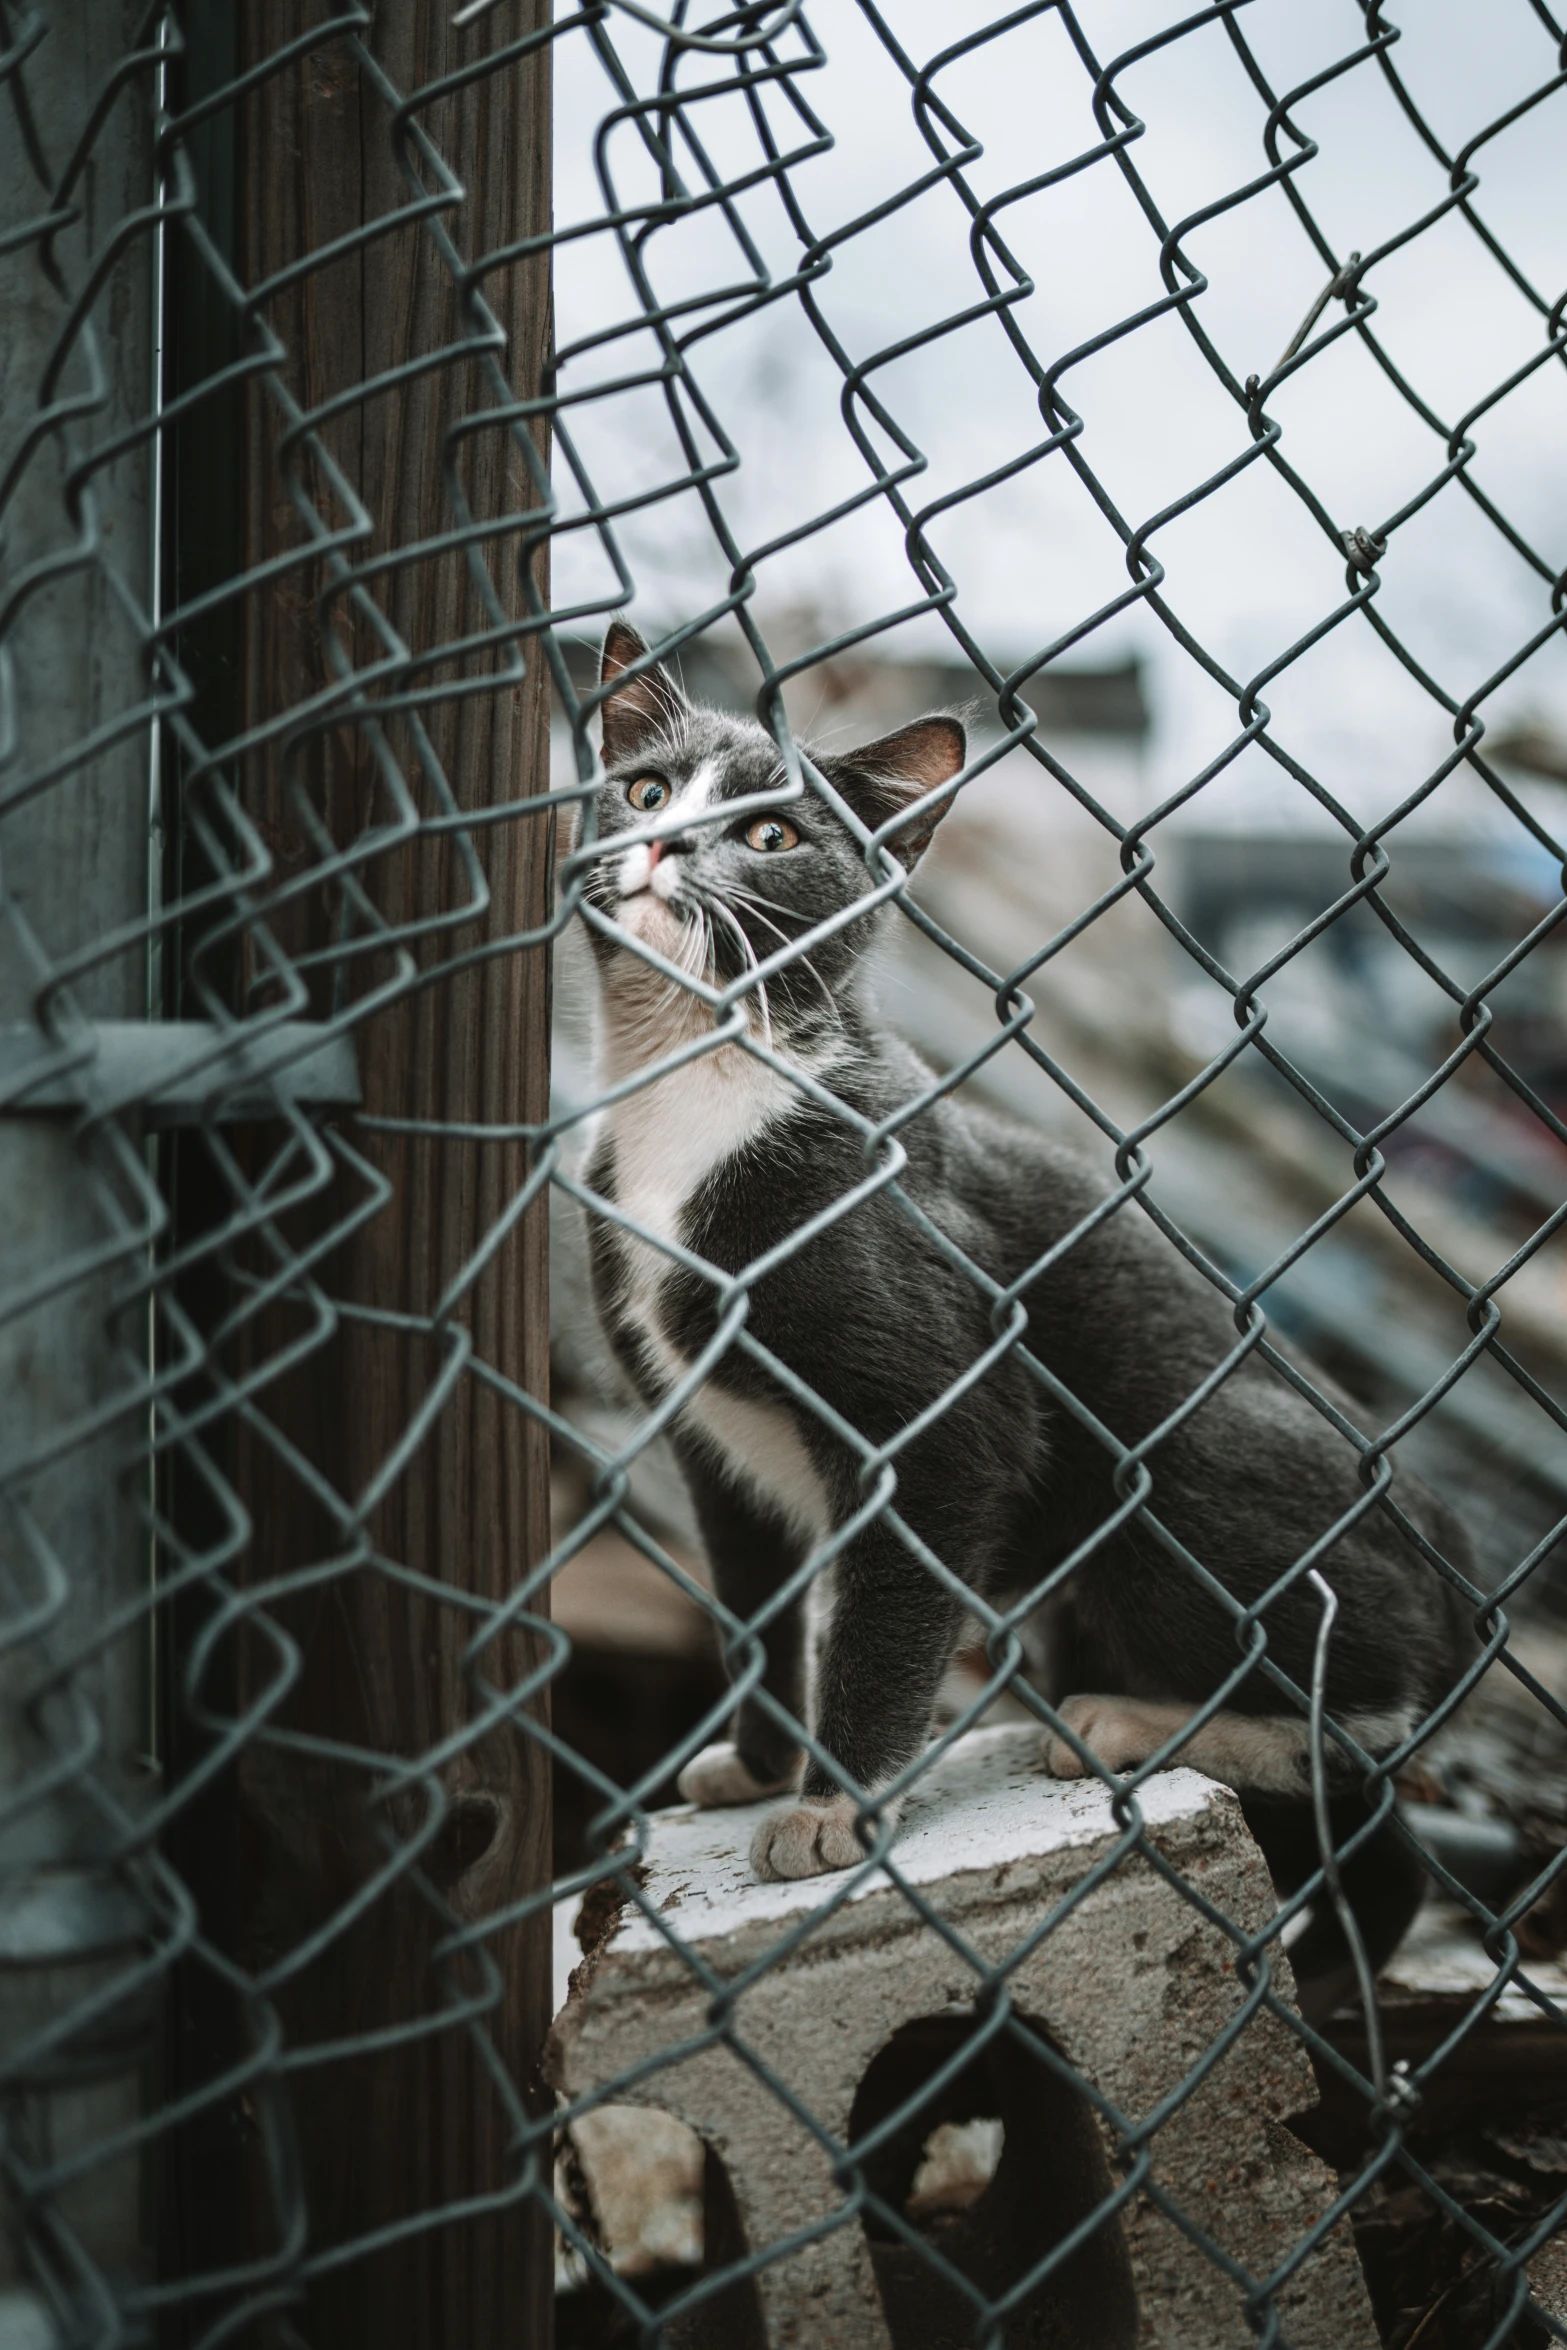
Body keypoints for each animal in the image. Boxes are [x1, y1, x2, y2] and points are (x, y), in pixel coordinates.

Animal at [575, 620, 1475, 2002]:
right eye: (643, 788)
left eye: (771, 835)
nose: (667, 843)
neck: (702, 1094)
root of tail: (1453, 1552)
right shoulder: (701, 1429)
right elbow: (753, 1605)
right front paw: (761, 1767)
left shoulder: (940, 1407)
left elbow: (886, 1614)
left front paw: (834, 1810)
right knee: (1376, 1838)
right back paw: (1333, 1968)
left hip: (1192, 1468)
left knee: (1366, 1724)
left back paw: (1138, 1723)